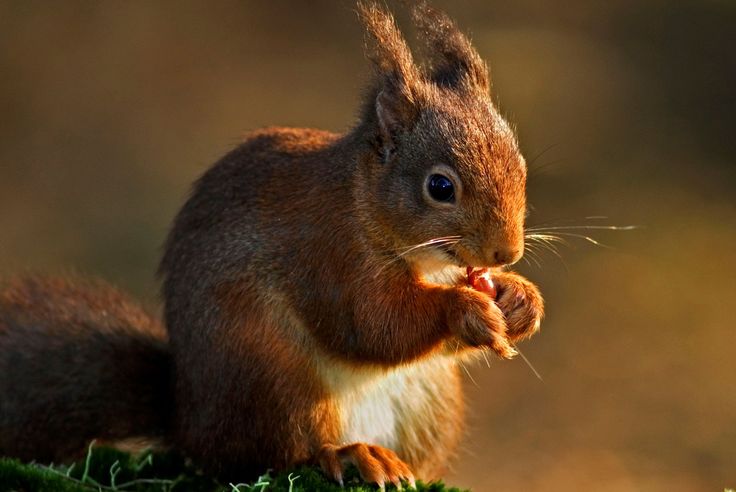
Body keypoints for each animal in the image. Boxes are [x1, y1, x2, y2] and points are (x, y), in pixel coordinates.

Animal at [0, 1, 540, 488]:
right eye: (440, 187)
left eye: (520, 164)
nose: (506, 253)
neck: (364, 204)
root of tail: (190, 420)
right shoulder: (329, 254)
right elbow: (371, 324)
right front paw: (465, 309)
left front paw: (521, 300)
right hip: (273, 376)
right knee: (281, 452)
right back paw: (352, 453)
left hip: (430, 403)